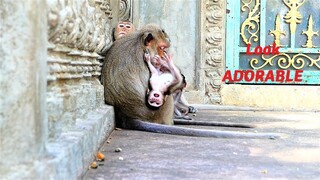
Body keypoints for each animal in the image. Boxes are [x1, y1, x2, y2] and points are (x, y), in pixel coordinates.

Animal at [102, 23, 280, 139]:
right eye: (162, 48)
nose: (164, 55)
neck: (139, 41)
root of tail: (127, 115)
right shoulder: (149, 60)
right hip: (157, 110)